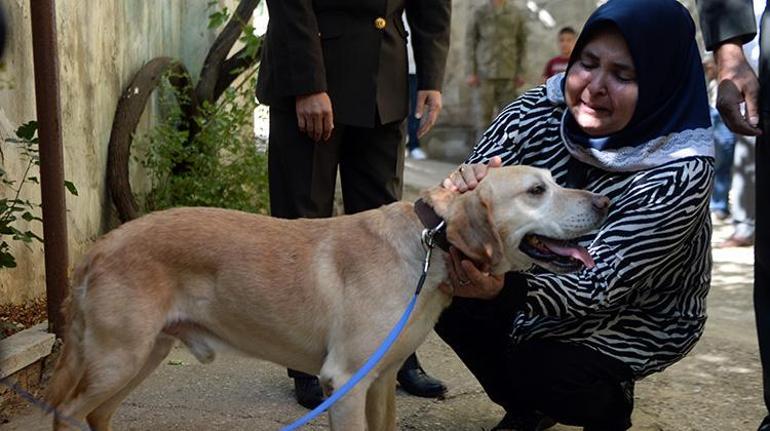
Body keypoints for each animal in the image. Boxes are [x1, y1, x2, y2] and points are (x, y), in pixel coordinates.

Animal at [46, 166, 608, 431]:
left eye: (554, 181)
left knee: (94, 415)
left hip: (140, 355)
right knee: (66, 412)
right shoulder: (345, 382)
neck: (429, 244)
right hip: (119, 358)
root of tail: (99, 247)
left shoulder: (380, 384)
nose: (605, 200)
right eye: (536, 190)